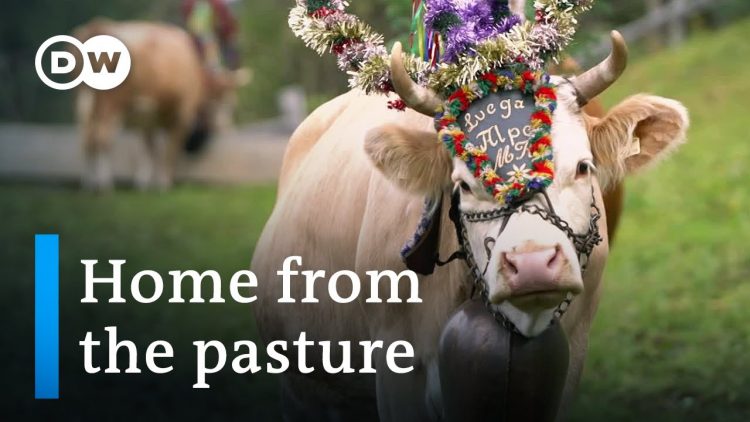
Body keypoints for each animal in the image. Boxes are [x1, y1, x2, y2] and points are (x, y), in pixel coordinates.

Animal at [74, 19, 251, 191]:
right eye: (229, 103)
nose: (228, 128)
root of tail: (98, 26)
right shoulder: (182, 114)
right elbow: (169, 149)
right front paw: (164, 183)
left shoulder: (148, 118)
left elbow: (150, 149)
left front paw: (143, 183)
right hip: (112, 103)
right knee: (102, 138)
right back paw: (105, 185)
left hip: (86, 103)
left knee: (86, 139)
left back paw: (88, 184)